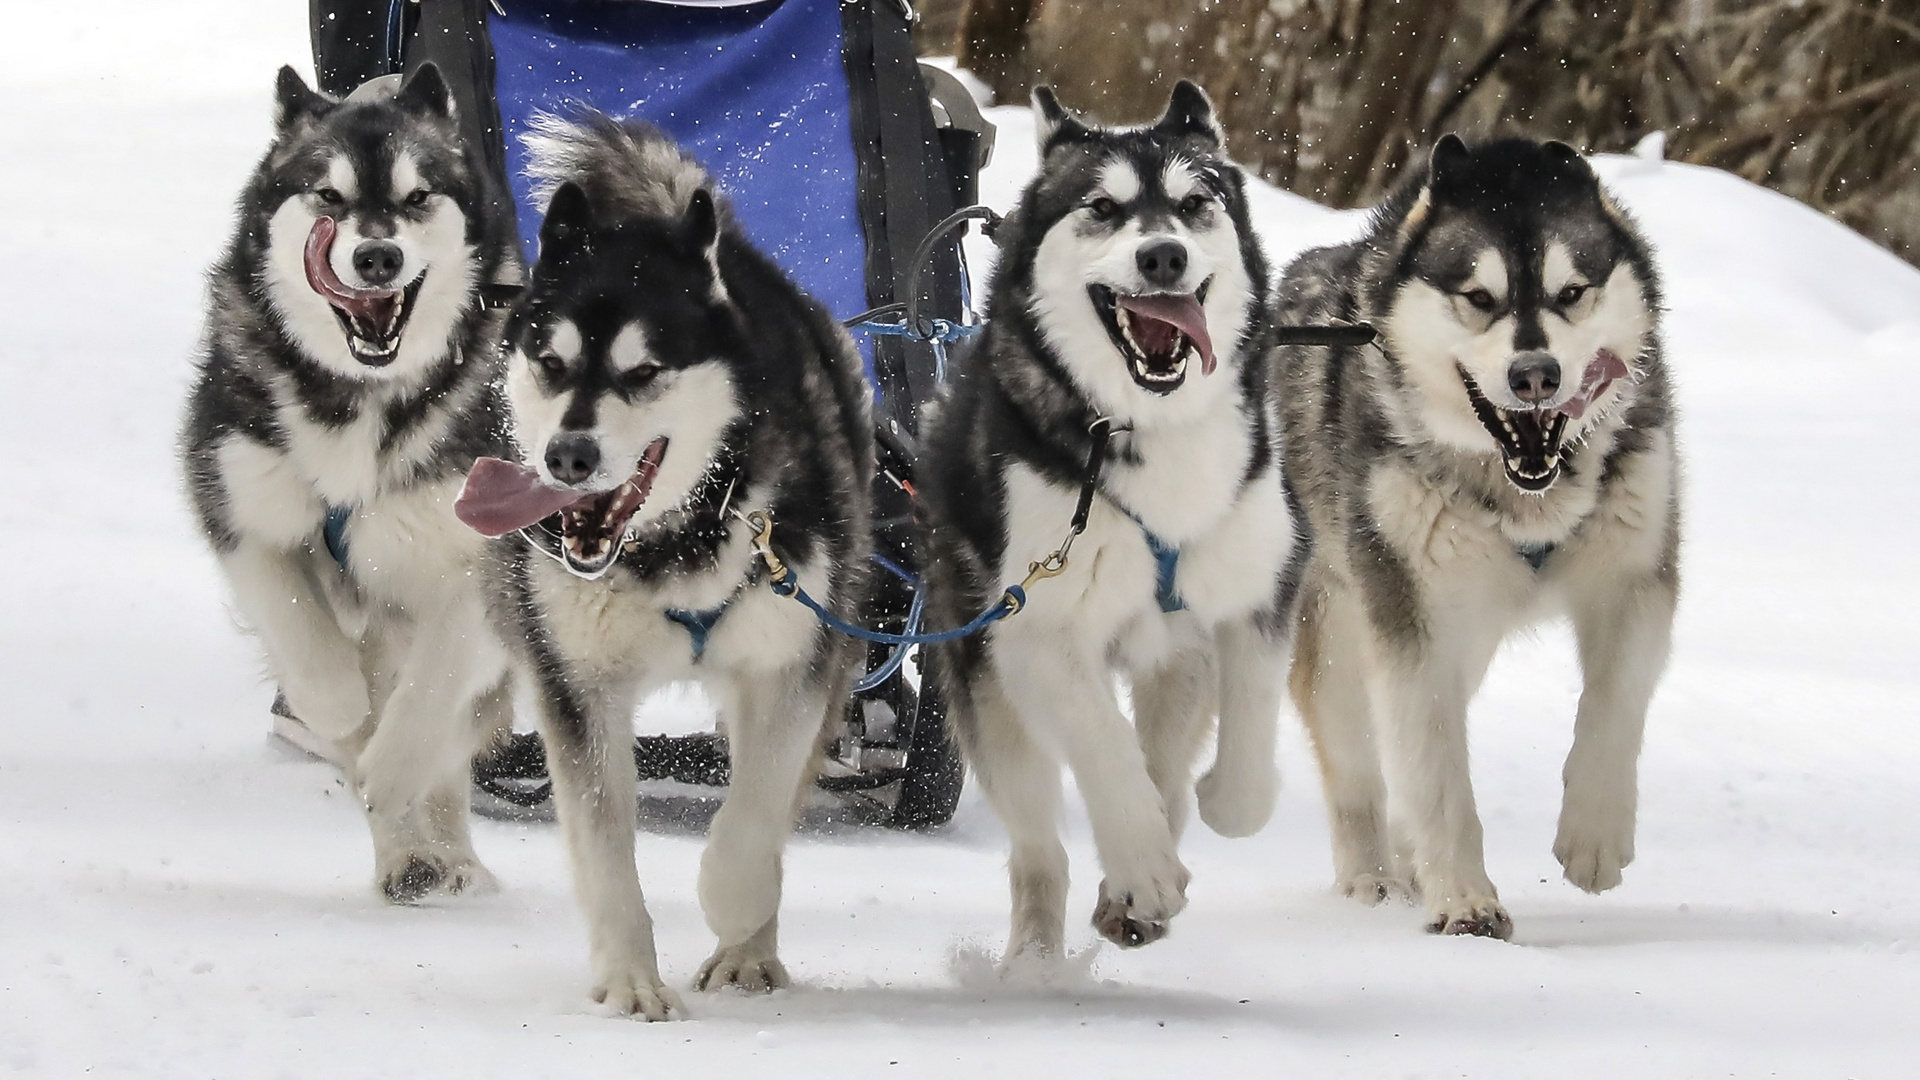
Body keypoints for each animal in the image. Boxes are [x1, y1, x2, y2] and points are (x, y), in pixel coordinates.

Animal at [184, 65, 518, 899]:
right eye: (327, 197)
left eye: (417, 196)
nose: (376, 259)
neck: (361, 398)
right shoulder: (240, 503)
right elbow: (303, 634)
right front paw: (336, 708)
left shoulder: (479, 557)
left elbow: (431, 693)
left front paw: (394, 766)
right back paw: (405, 851)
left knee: (449, 746)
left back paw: (445, 855)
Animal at [460, 113, 879, 1014]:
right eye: (550, 363)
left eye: (644, 371)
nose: (568, 455)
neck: (678, 539)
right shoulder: (576, 687)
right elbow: (604, 845)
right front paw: (629, 981)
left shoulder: (789, 668)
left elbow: (752, 825)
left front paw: (735, 907)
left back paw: (750, 951)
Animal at [917, 84, 1297, 953]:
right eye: (1101, 207)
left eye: (1195, 203)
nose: (1163, 257)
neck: (1149, 429)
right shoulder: (1034, 631)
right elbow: (1104, 748)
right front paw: (1143, 869)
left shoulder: (1259, 587)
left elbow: (1248, 755)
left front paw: (1220, 801)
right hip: (989, 689)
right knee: (1039, 851)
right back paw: (1037, 956)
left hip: (1174, 660)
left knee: (1167, 754)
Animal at [1282, 136, 1674, 933]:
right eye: (1480, 298)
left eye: (1571, 293)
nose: (1536, 375)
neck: (1530, 494)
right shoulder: (1412, 615)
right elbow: (1433, 768)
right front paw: (1464, 901)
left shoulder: (1635, 578)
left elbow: (1614, 701)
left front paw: (1593, 835)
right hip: (1344, 627)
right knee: (1361, 762)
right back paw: (1371, 877)